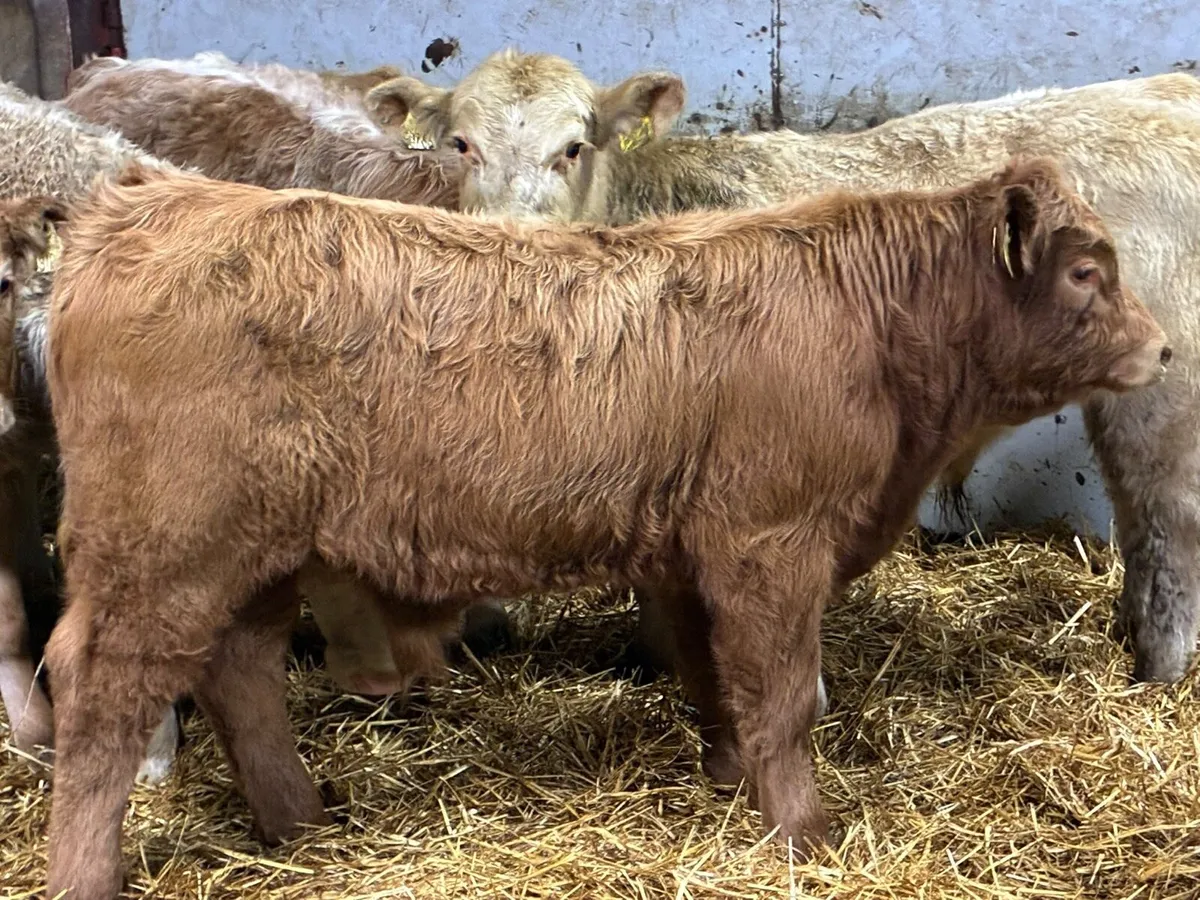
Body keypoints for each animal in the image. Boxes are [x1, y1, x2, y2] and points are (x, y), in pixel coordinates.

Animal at [41, 156, 1167, 898]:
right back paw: (89, 875)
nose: (1161, 348)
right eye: (1085, 272)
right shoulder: (771, 543)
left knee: (240, 672)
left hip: (259, 551)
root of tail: (149, 200)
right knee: (102, 703)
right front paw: (804, 835)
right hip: (161, 552)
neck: (874, 326)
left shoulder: (695, 554)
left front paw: (730, 784)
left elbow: (718, 679)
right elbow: (784, 697)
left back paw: (302, 824)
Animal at [363, 50, 1200, 690]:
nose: (509, 234)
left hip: (1170, 383)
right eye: (460, 144)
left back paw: (1156, 671)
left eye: (572, 148)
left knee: (1169, 519)